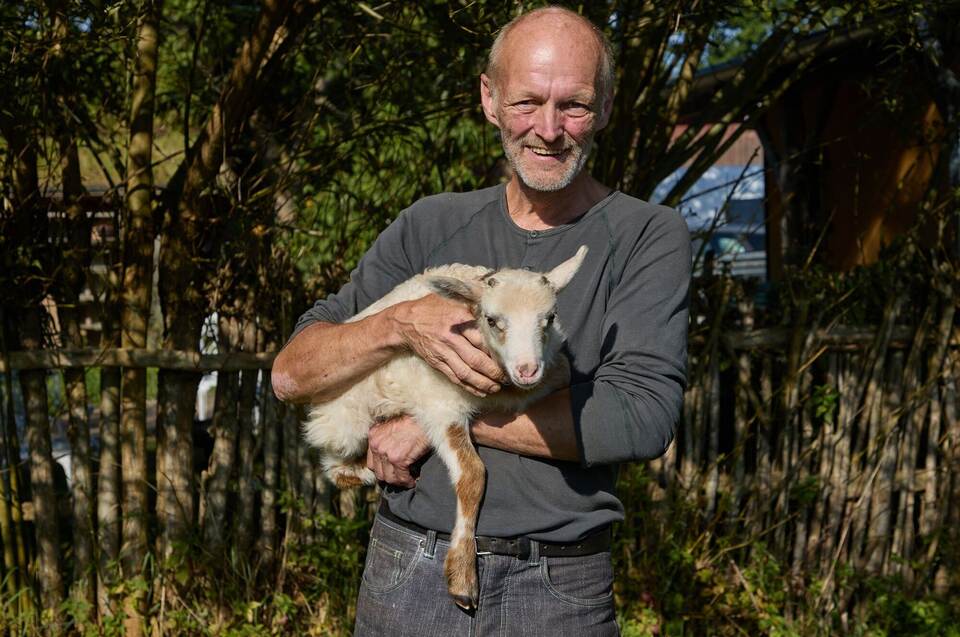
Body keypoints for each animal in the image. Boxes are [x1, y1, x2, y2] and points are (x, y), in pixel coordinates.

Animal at [303, 245, 588, 610]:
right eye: (492, 320)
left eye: (549, 318)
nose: (528, 369)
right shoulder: (441, 406)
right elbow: (472, 475)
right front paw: (463, 576)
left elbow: (562, 371)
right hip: (344, 422)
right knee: (333, 463)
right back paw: (365, 469)